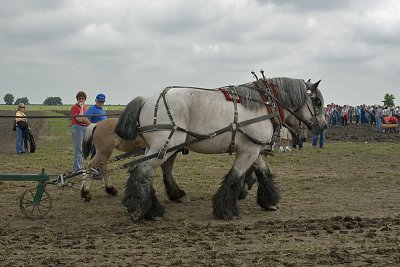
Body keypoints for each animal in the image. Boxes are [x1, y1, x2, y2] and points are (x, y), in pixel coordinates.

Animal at [114, 77, 326, 222]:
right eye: (318, 102)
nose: (323, 126)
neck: (265, 104)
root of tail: (147, 99)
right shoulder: (248, 151)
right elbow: (235, 177)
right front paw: (227, 210)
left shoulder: (254, 148)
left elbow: (264, 172)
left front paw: (270, 200)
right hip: (164, 146)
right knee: (142, 171)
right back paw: (139, 209)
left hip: (158, 147)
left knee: (146, 172)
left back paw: (154, 207)